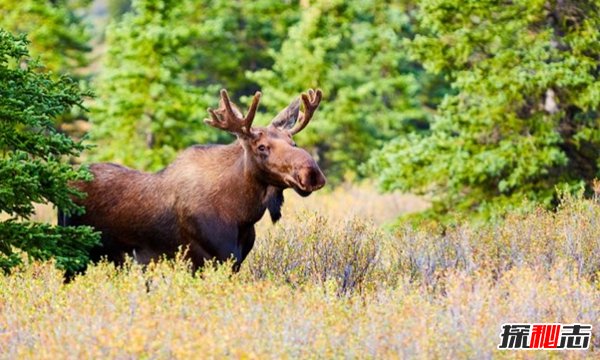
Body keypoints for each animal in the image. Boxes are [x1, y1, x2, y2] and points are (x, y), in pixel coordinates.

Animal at [58, 88, 326, 272]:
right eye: (261, 147)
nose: (312, 173)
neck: (242, 213)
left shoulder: (235, 261)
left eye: (293, 142)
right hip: (74, 254)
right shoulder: (203, 259)